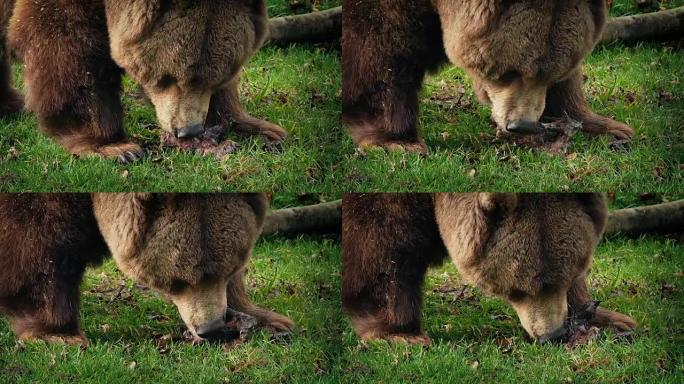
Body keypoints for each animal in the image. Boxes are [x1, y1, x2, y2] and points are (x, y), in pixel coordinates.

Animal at [0, 0, 286, 162]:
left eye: (216, 77)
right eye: (169, 77)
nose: (188, 131)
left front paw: (260, 129)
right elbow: (69, 39)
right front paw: (114, 147)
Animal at [342, 0, 636, 153]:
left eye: (551, 73)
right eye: (511, 71)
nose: (522, 125)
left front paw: (606, 127)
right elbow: (385, 43)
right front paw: (395, 141)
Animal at [344, 194, 640, 344]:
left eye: (570, 273)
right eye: (517, 290)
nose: (551, 335)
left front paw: (609, 319)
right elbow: (386, 235)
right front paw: (398, 333)